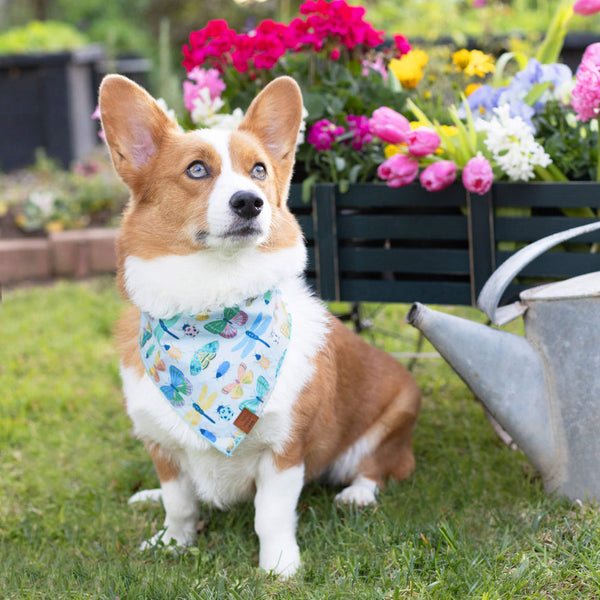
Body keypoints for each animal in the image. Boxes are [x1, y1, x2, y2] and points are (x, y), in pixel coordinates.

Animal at [99, 74, 422, 576]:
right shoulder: (164, 450)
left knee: (379, 468)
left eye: (259, 171)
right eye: (196, 169)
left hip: (394, 415)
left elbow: (270, 516)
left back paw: (357, 494)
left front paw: (279, 568)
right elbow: (179, 504)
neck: (215, 308)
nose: (249, 202)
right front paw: (173, 542)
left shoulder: (283, 450)